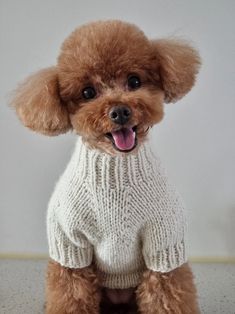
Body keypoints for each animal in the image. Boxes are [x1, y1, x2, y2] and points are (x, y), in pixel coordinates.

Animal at [11, 20, 201, 314]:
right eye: (88, 92)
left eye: (134, 81)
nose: (120, 111)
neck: (115, 171)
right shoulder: (70, 247)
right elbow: (71, 295)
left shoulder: (163, 243)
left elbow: (166, 294)